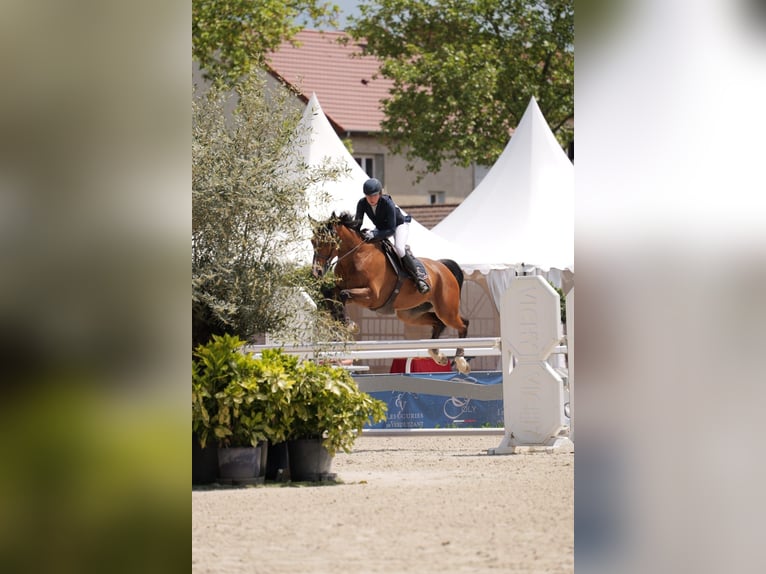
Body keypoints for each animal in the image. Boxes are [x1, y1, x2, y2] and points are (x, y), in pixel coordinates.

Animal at [314, 212, 474, 378]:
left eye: (326, 241)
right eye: (313, 241)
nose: (317, 271)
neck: (355, 257)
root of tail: (443, 267)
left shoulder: (372, 296)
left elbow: (344, 295)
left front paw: (349, 324)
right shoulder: (342, 287)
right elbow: (329, 293)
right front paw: (339, 320)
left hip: (446, 310)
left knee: (463, 324)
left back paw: (461, 362)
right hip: (410, 314)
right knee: (438, 322)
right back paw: (437, 355)